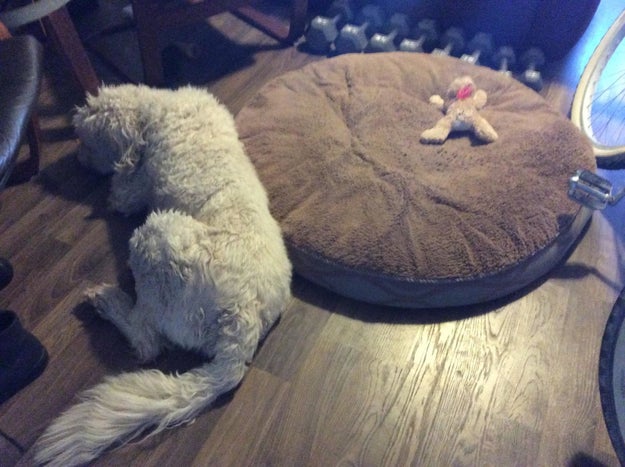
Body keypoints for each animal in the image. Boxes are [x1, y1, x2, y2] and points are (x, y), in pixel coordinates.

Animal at [35, 86, 294, 466]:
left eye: (88, 140)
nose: (79, 158)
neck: (155, 106)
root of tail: (242, 323)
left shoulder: (130, 191)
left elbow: (120, 190)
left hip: (156, 236)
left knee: (147, 341)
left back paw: (109, 302)